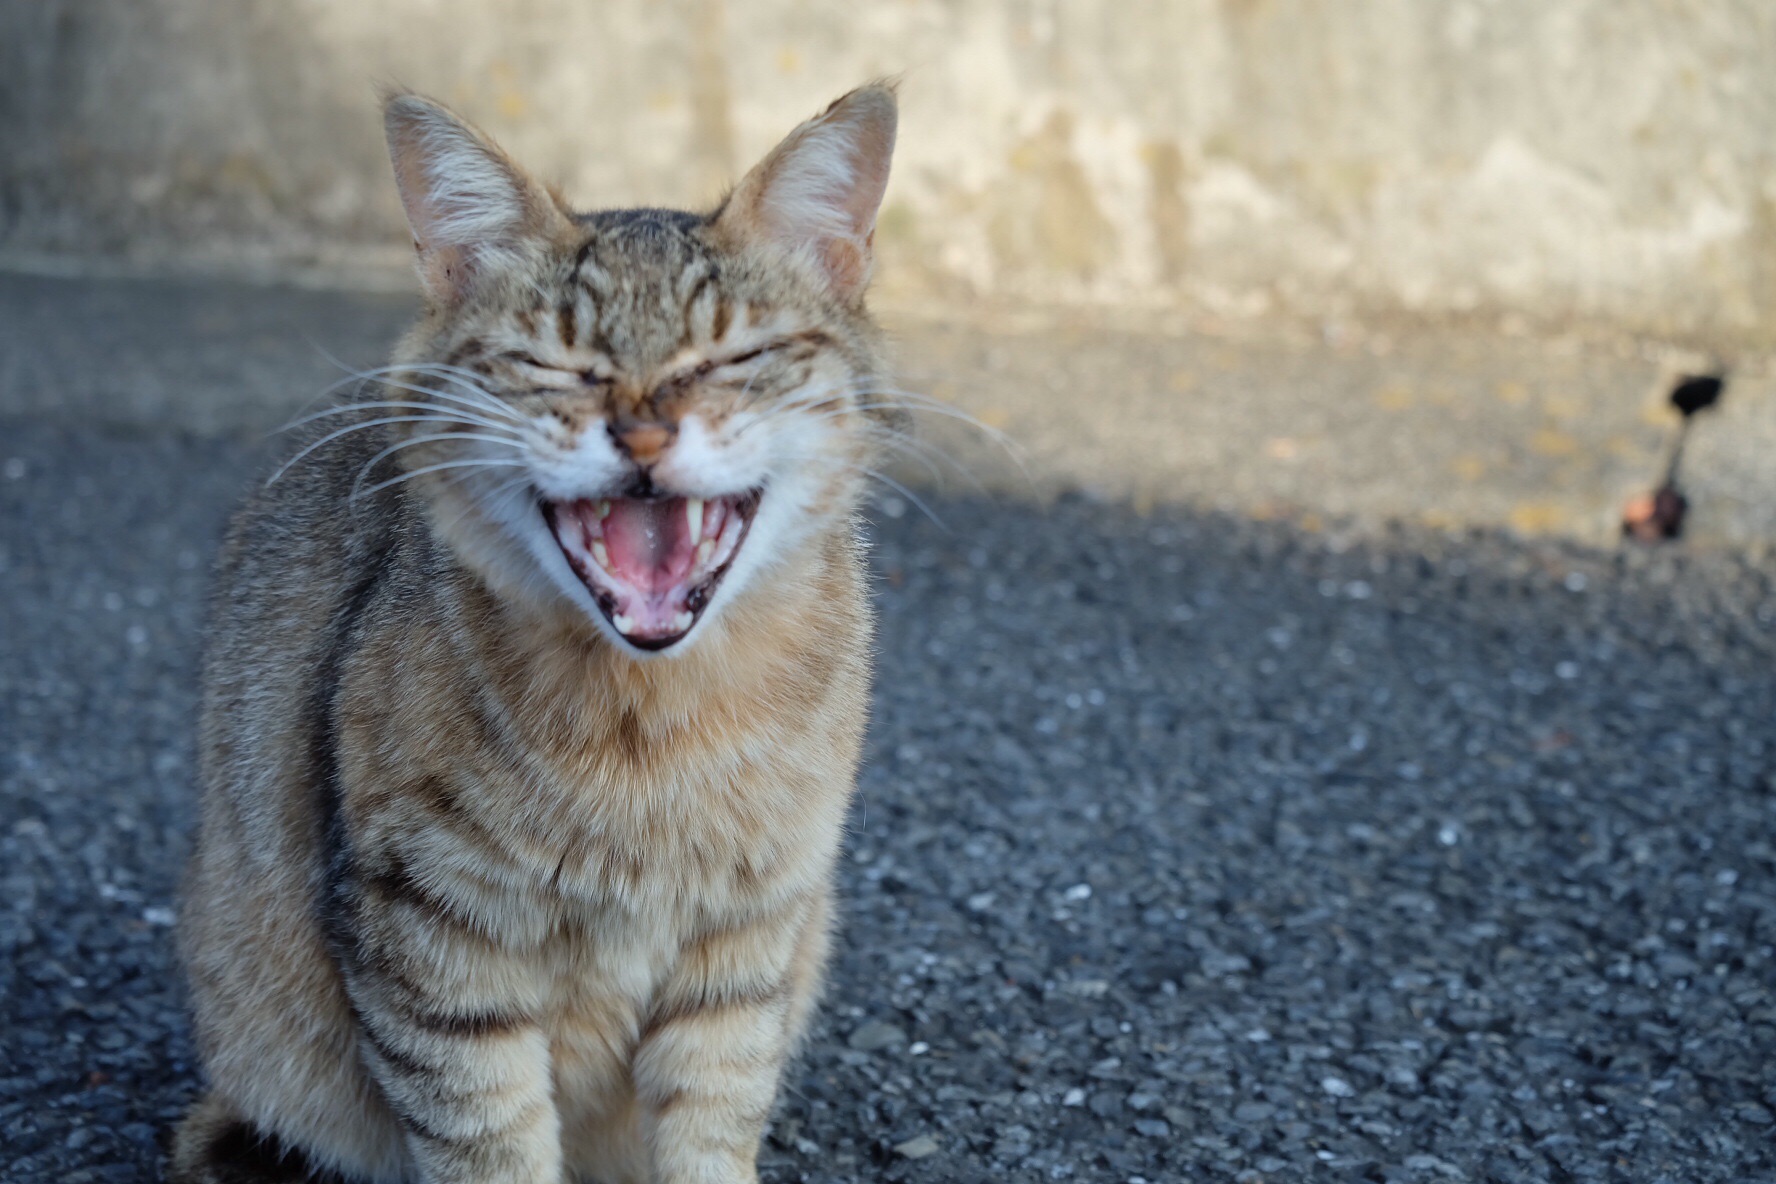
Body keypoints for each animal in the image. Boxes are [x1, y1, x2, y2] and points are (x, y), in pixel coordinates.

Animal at [169, 83, 902, 1184]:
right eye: (559, 365)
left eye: (732, 356)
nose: (642, 433)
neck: (653, 730)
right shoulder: (426, 937)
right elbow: (487, 1138)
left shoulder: (746, 944)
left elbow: (713, 1120)